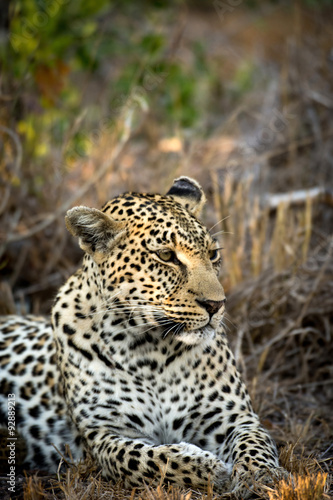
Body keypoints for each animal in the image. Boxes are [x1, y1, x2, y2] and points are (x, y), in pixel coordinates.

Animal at [0, 178, 286, 498]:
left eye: (212, 254)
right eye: (166, 256)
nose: (216, 305)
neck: (151, 349)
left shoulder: (233, 416)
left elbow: (255, 443)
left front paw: (260, 477)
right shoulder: (104, 434)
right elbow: (148, 458)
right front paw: (211, 468)